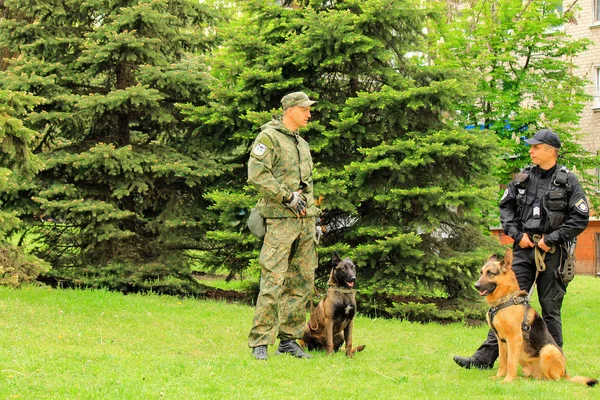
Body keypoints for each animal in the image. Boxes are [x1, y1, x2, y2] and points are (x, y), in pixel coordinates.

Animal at [476, 248, 596, 386]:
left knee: (554, 380)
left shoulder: (514, 339)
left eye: (490, 273)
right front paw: (499, 377)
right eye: (481, 272)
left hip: (548, 350)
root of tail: (566, 374)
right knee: (535, 378)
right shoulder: (501, 341)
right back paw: (520, 379)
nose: (476, 286)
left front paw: (507, 380)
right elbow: (502, 362)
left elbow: (510, 363)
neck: (504, 300)